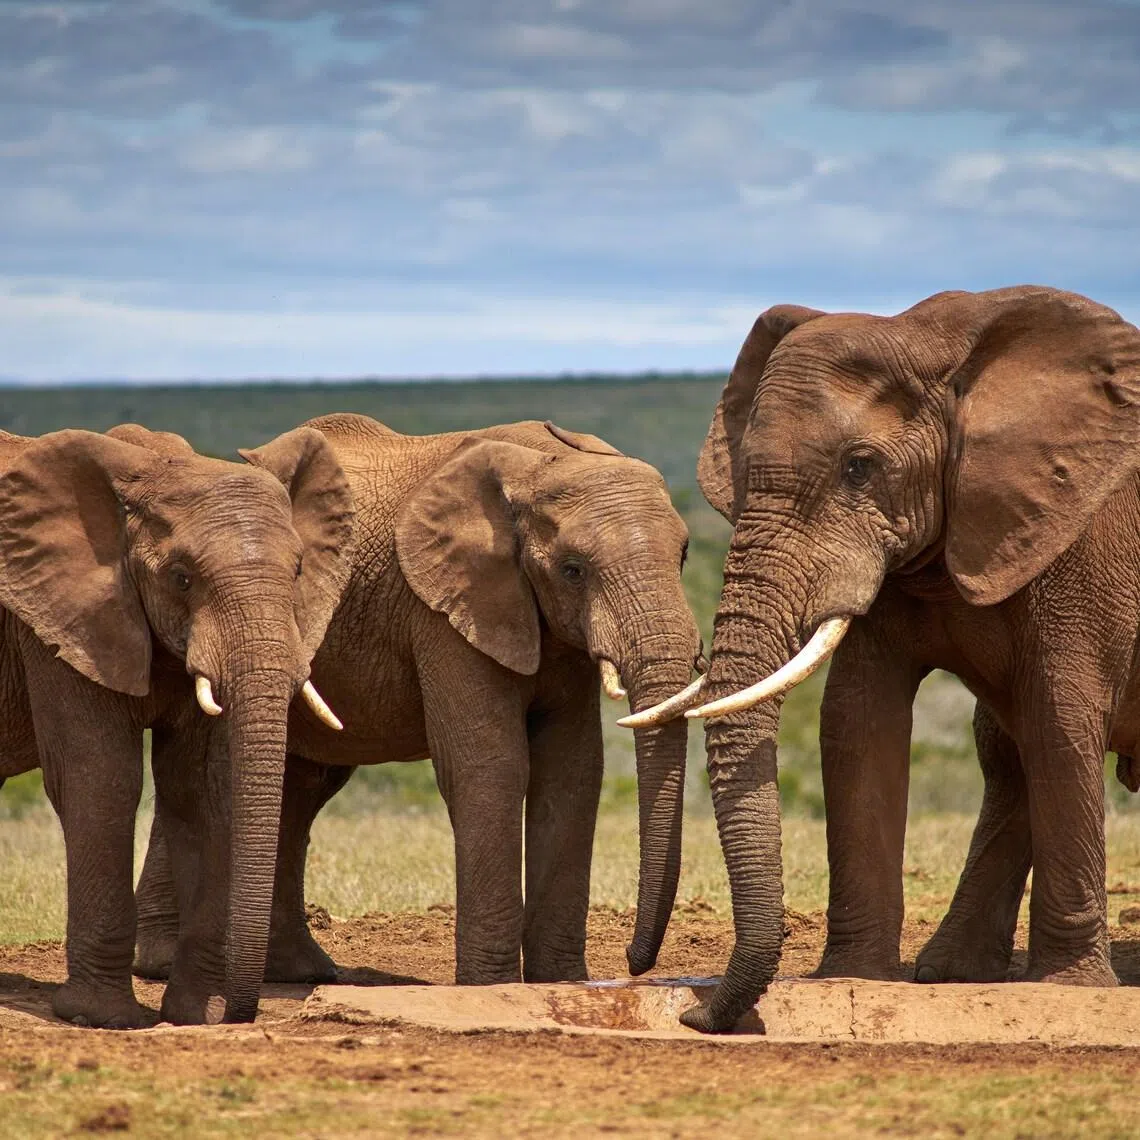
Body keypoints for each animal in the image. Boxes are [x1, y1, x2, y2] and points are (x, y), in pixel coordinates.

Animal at [0, 422, 353, 1027]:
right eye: (181, 578)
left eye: (299, 571)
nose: (243, 1012)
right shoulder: (61, 621)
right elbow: (102, 778)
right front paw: (103, 1018)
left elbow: (200, 786)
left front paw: (199, 1013)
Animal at [134, 415, 703, 988]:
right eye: (572, 569)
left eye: (683, 555)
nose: (632, 962)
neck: (544, 464)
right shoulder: (443, 609)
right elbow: (491, 767)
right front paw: (492, 988)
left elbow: (573, 771)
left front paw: (559, 983)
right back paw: (166, 964)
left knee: (303, 785)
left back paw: (299, 971)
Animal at [626, 285, 1140, 1032]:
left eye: (859, 467)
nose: (695, 1016)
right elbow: (857, 722)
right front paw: (856, 975)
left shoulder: (1077, 534)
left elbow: (1060, 720)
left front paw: (1069, 988)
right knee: (1001, 751)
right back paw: (950, 973)